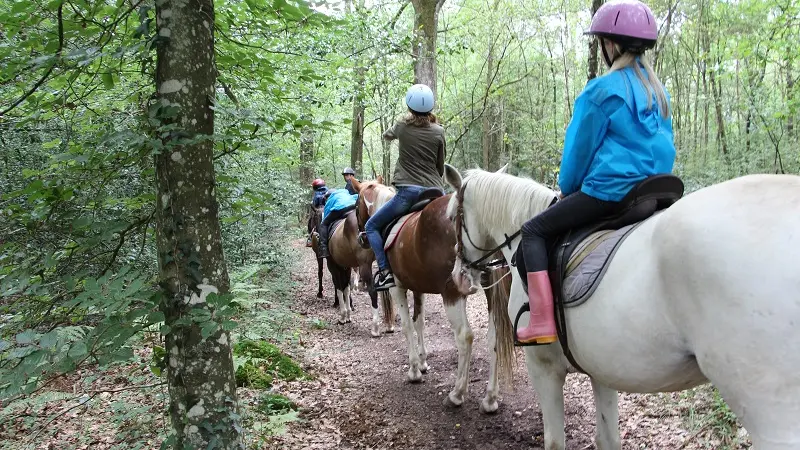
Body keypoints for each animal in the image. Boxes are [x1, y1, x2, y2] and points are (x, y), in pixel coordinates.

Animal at [354, 178, 516, 412]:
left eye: (355, 204)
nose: (361, 238)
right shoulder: (417, 287)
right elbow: (419, 321)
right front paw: (423, 362)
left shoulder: (397, 287)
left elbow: (407, 326)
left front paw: (414, 370)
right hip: (491, 291)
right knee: (493, 337)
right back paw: (490, 399)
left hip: (452, 292)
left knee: (465, 336)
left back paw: (457, 394)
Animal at [444, 165, 800, 450]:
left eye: (452, 218)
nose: (459, 276)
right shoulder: (601, 367)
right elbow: (608, 439)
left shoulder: (543, 367)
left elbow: (555, 441)